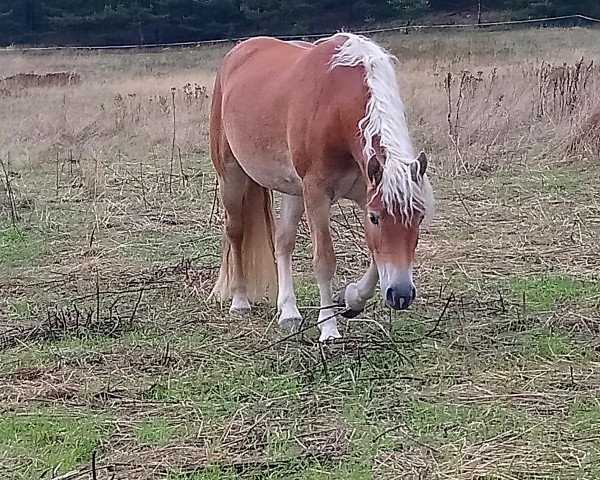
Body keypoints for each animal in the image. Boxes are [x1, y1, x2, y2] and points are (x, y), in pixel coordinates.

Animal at [209, 31, 434, 342]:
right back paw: (240, 301)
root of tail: (237, 53)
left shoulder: (365, 192)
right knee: (236, 233)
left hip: (294, 191)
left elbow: (377, 258)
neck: (336, 104)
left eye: (419, 217)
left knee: (283, 242)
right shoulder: (318, 192)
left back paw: (289, 312)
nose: (400, 295)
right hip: (232, 176)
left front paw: (351, 299)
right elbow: (324, 261)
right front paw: (329, 329)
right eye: (376, 218)